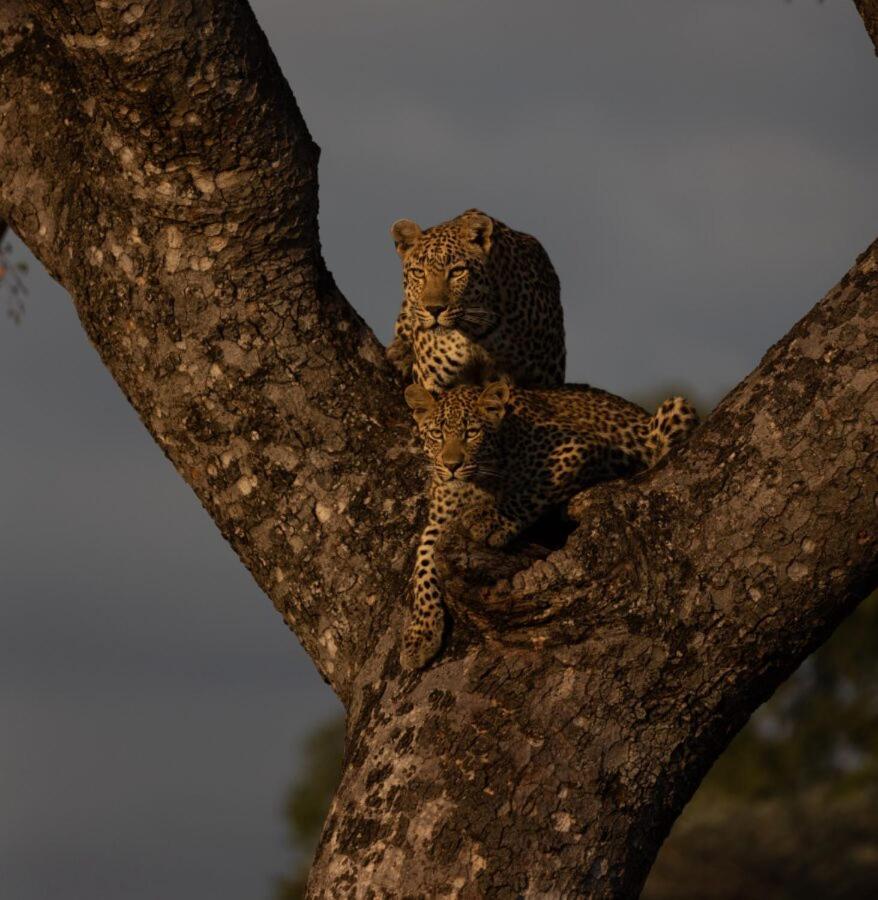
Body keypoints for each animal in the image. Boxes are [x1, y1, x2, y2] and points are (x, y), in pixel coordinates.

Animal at [399, 379, 698, 670]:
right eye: (437, 434)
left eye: (471, 432)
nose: (452, 465)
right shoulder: (439, 520)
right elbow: (424, 565)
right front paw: (419, 638)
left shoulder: (575, 448)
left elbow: (530, 490)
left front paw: (491, 520)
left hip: (676, 409)